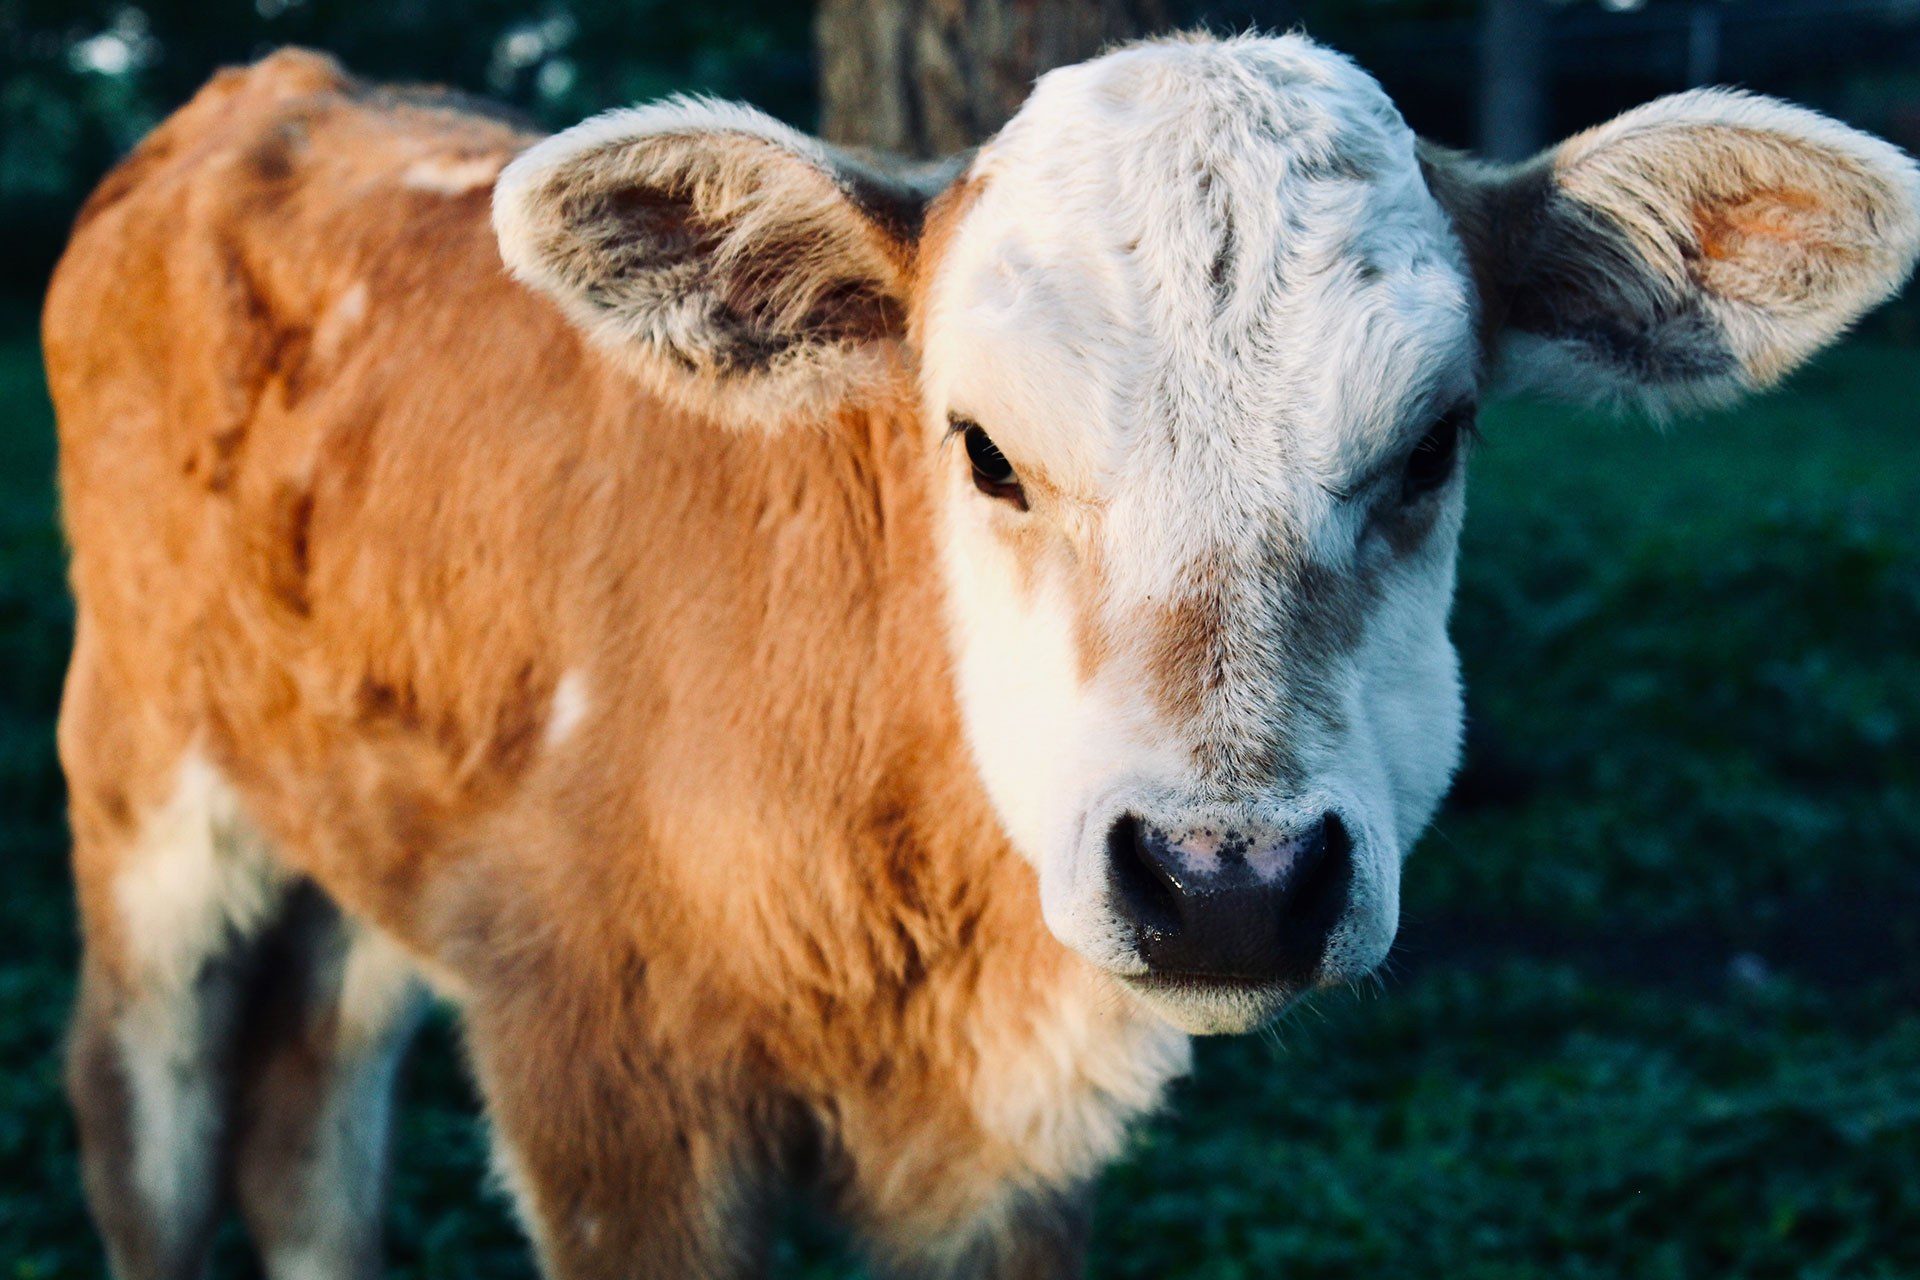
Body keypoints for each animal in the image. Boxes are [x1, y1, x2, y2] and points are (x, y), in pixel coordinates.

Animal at [45, 29, 1920, 1280]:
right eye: (985, 448)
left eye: (1434, 443)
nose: (1226, 882)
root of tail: (268, 86)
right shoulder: (601, 1071)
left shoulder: (1016, 1158)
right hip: (138, 788)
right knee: (149, 1126)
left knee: (306, 1132)